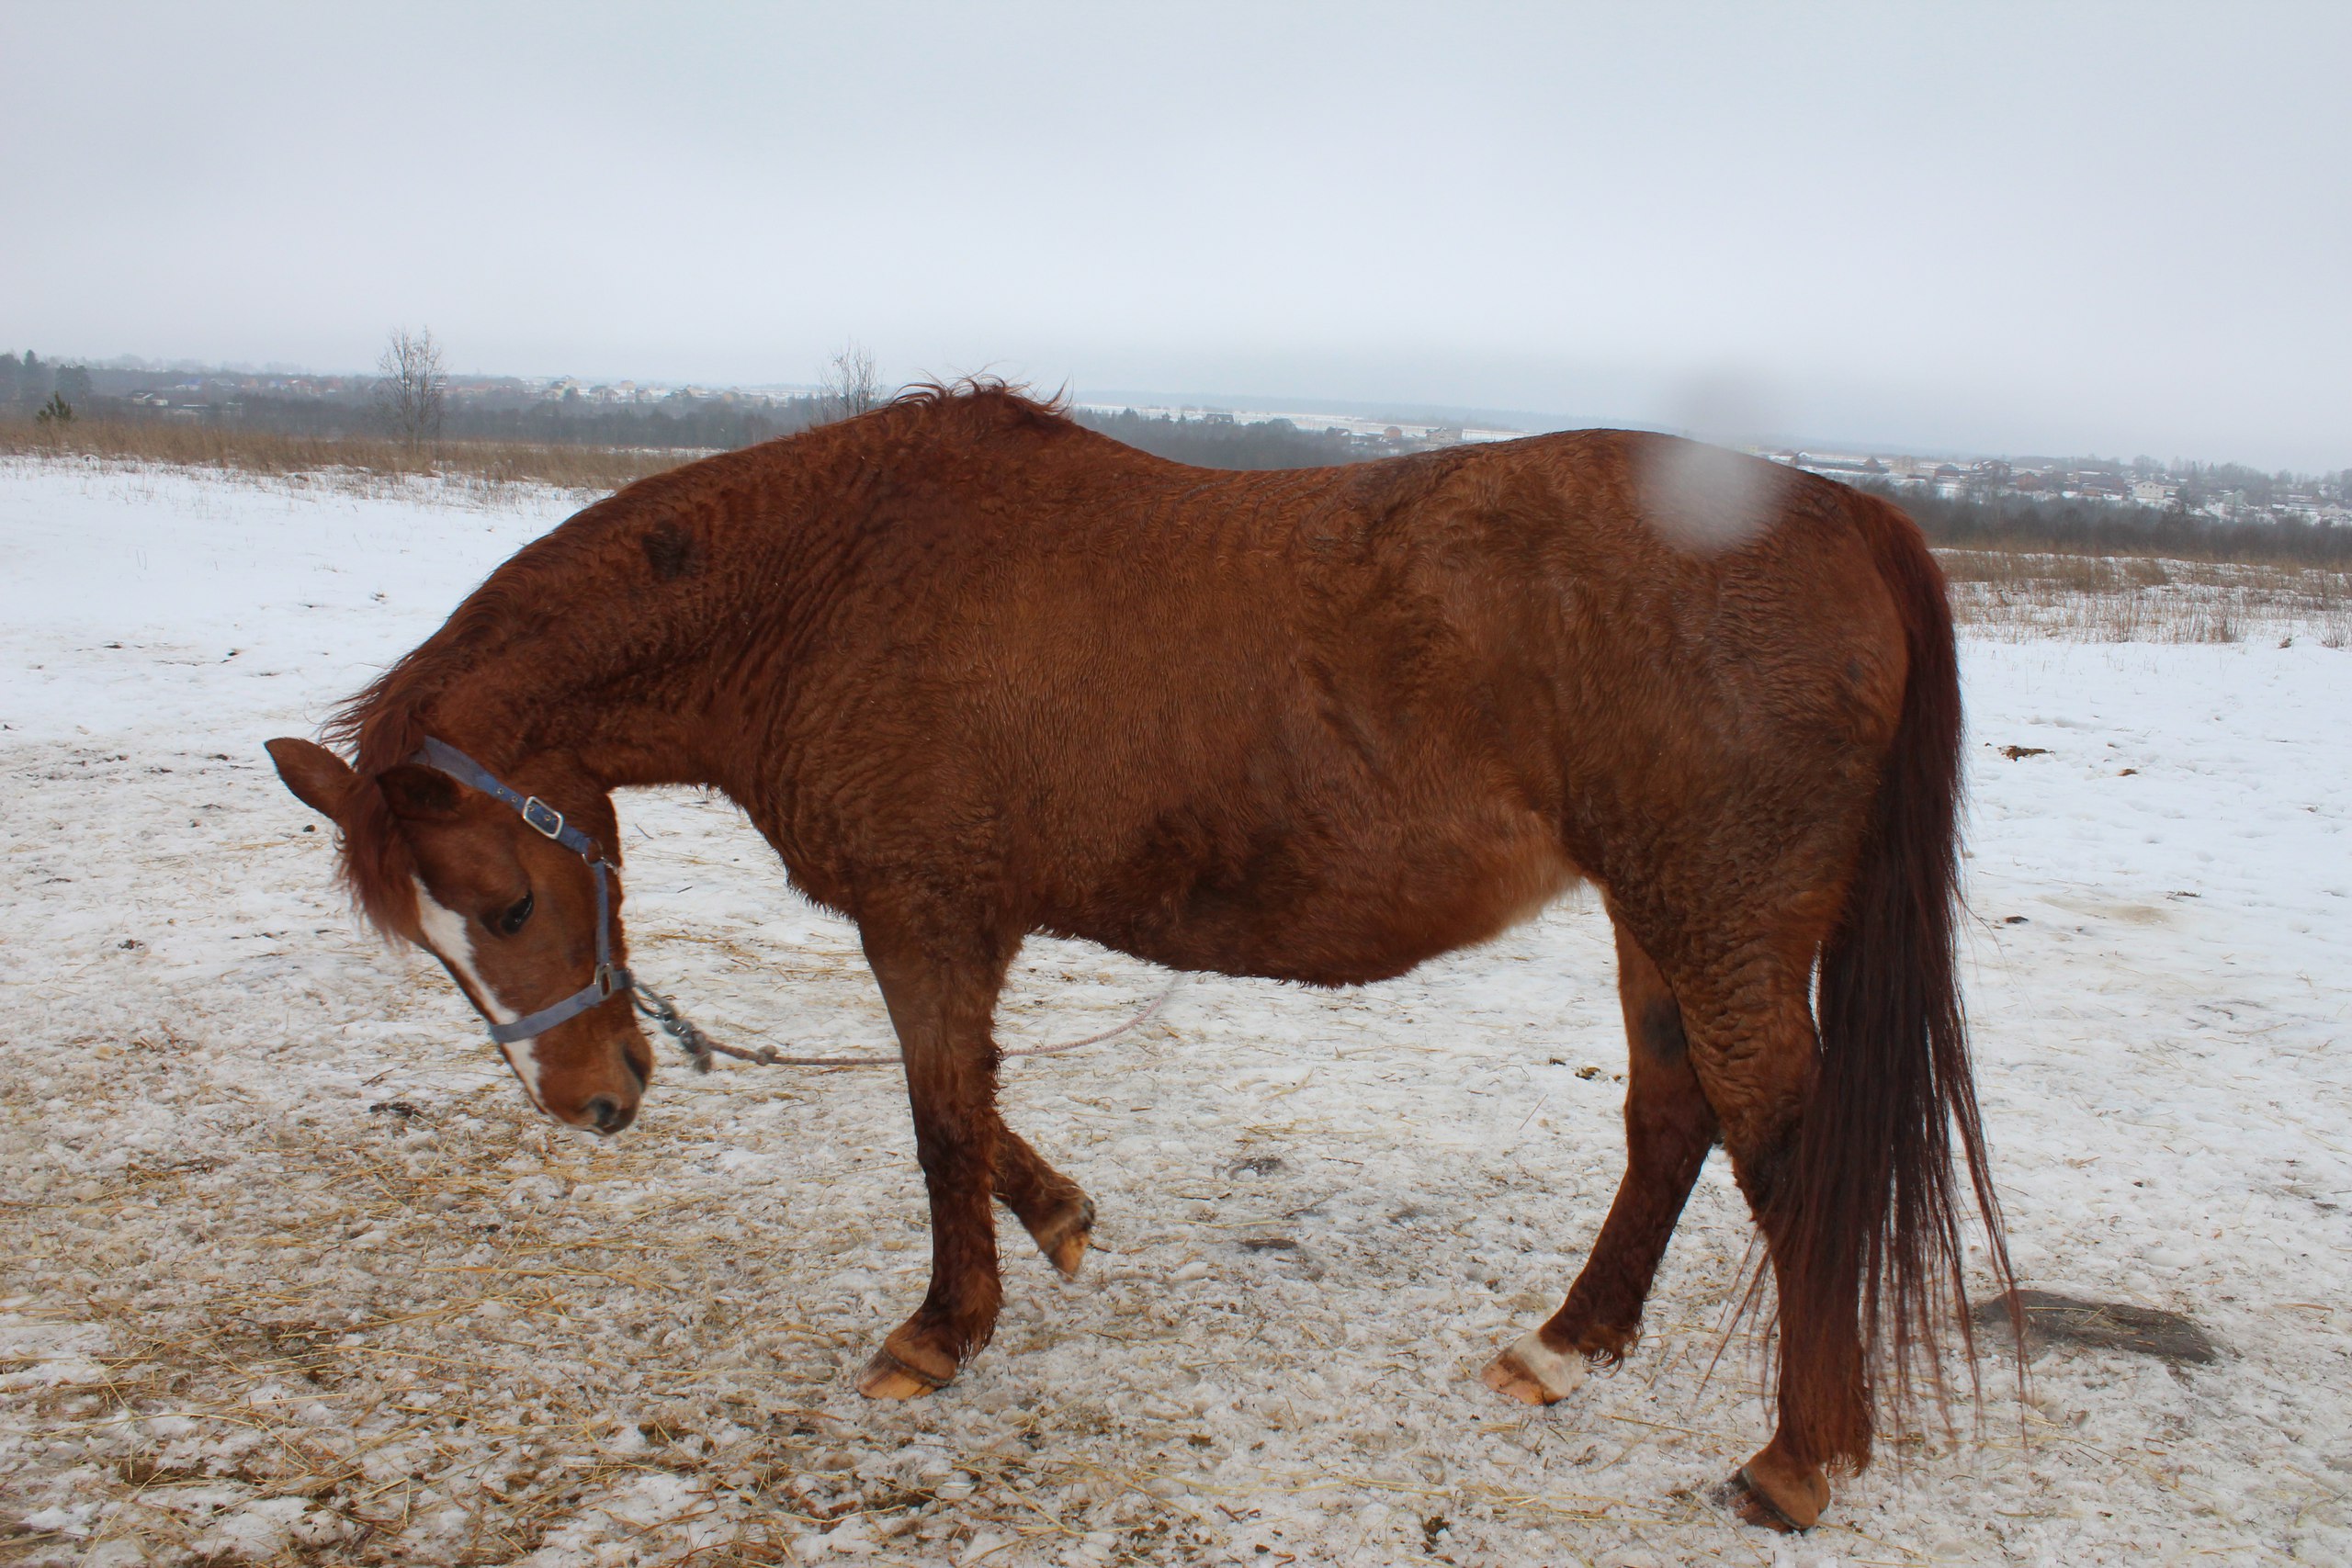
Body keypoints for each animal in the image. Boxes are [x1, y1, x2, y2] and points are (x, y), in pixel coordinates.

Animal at [270, 383, 2004, 1532]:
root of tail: (1847, 509)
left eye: (505, 903)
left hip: (1716, 917)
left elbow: (937, 1119)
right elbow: (980, 1109)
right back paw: (1566, 1348)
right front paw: (1060, 1218)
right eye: (443, 938)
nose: (594, 1098)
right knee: (1672, 1117)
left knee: (1782, 1148)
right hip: (1656, 916)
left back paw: (1797, 1456)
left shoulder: (925, 917)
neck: (830, 588)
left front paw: (939, 1332)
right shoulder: (958, 924)